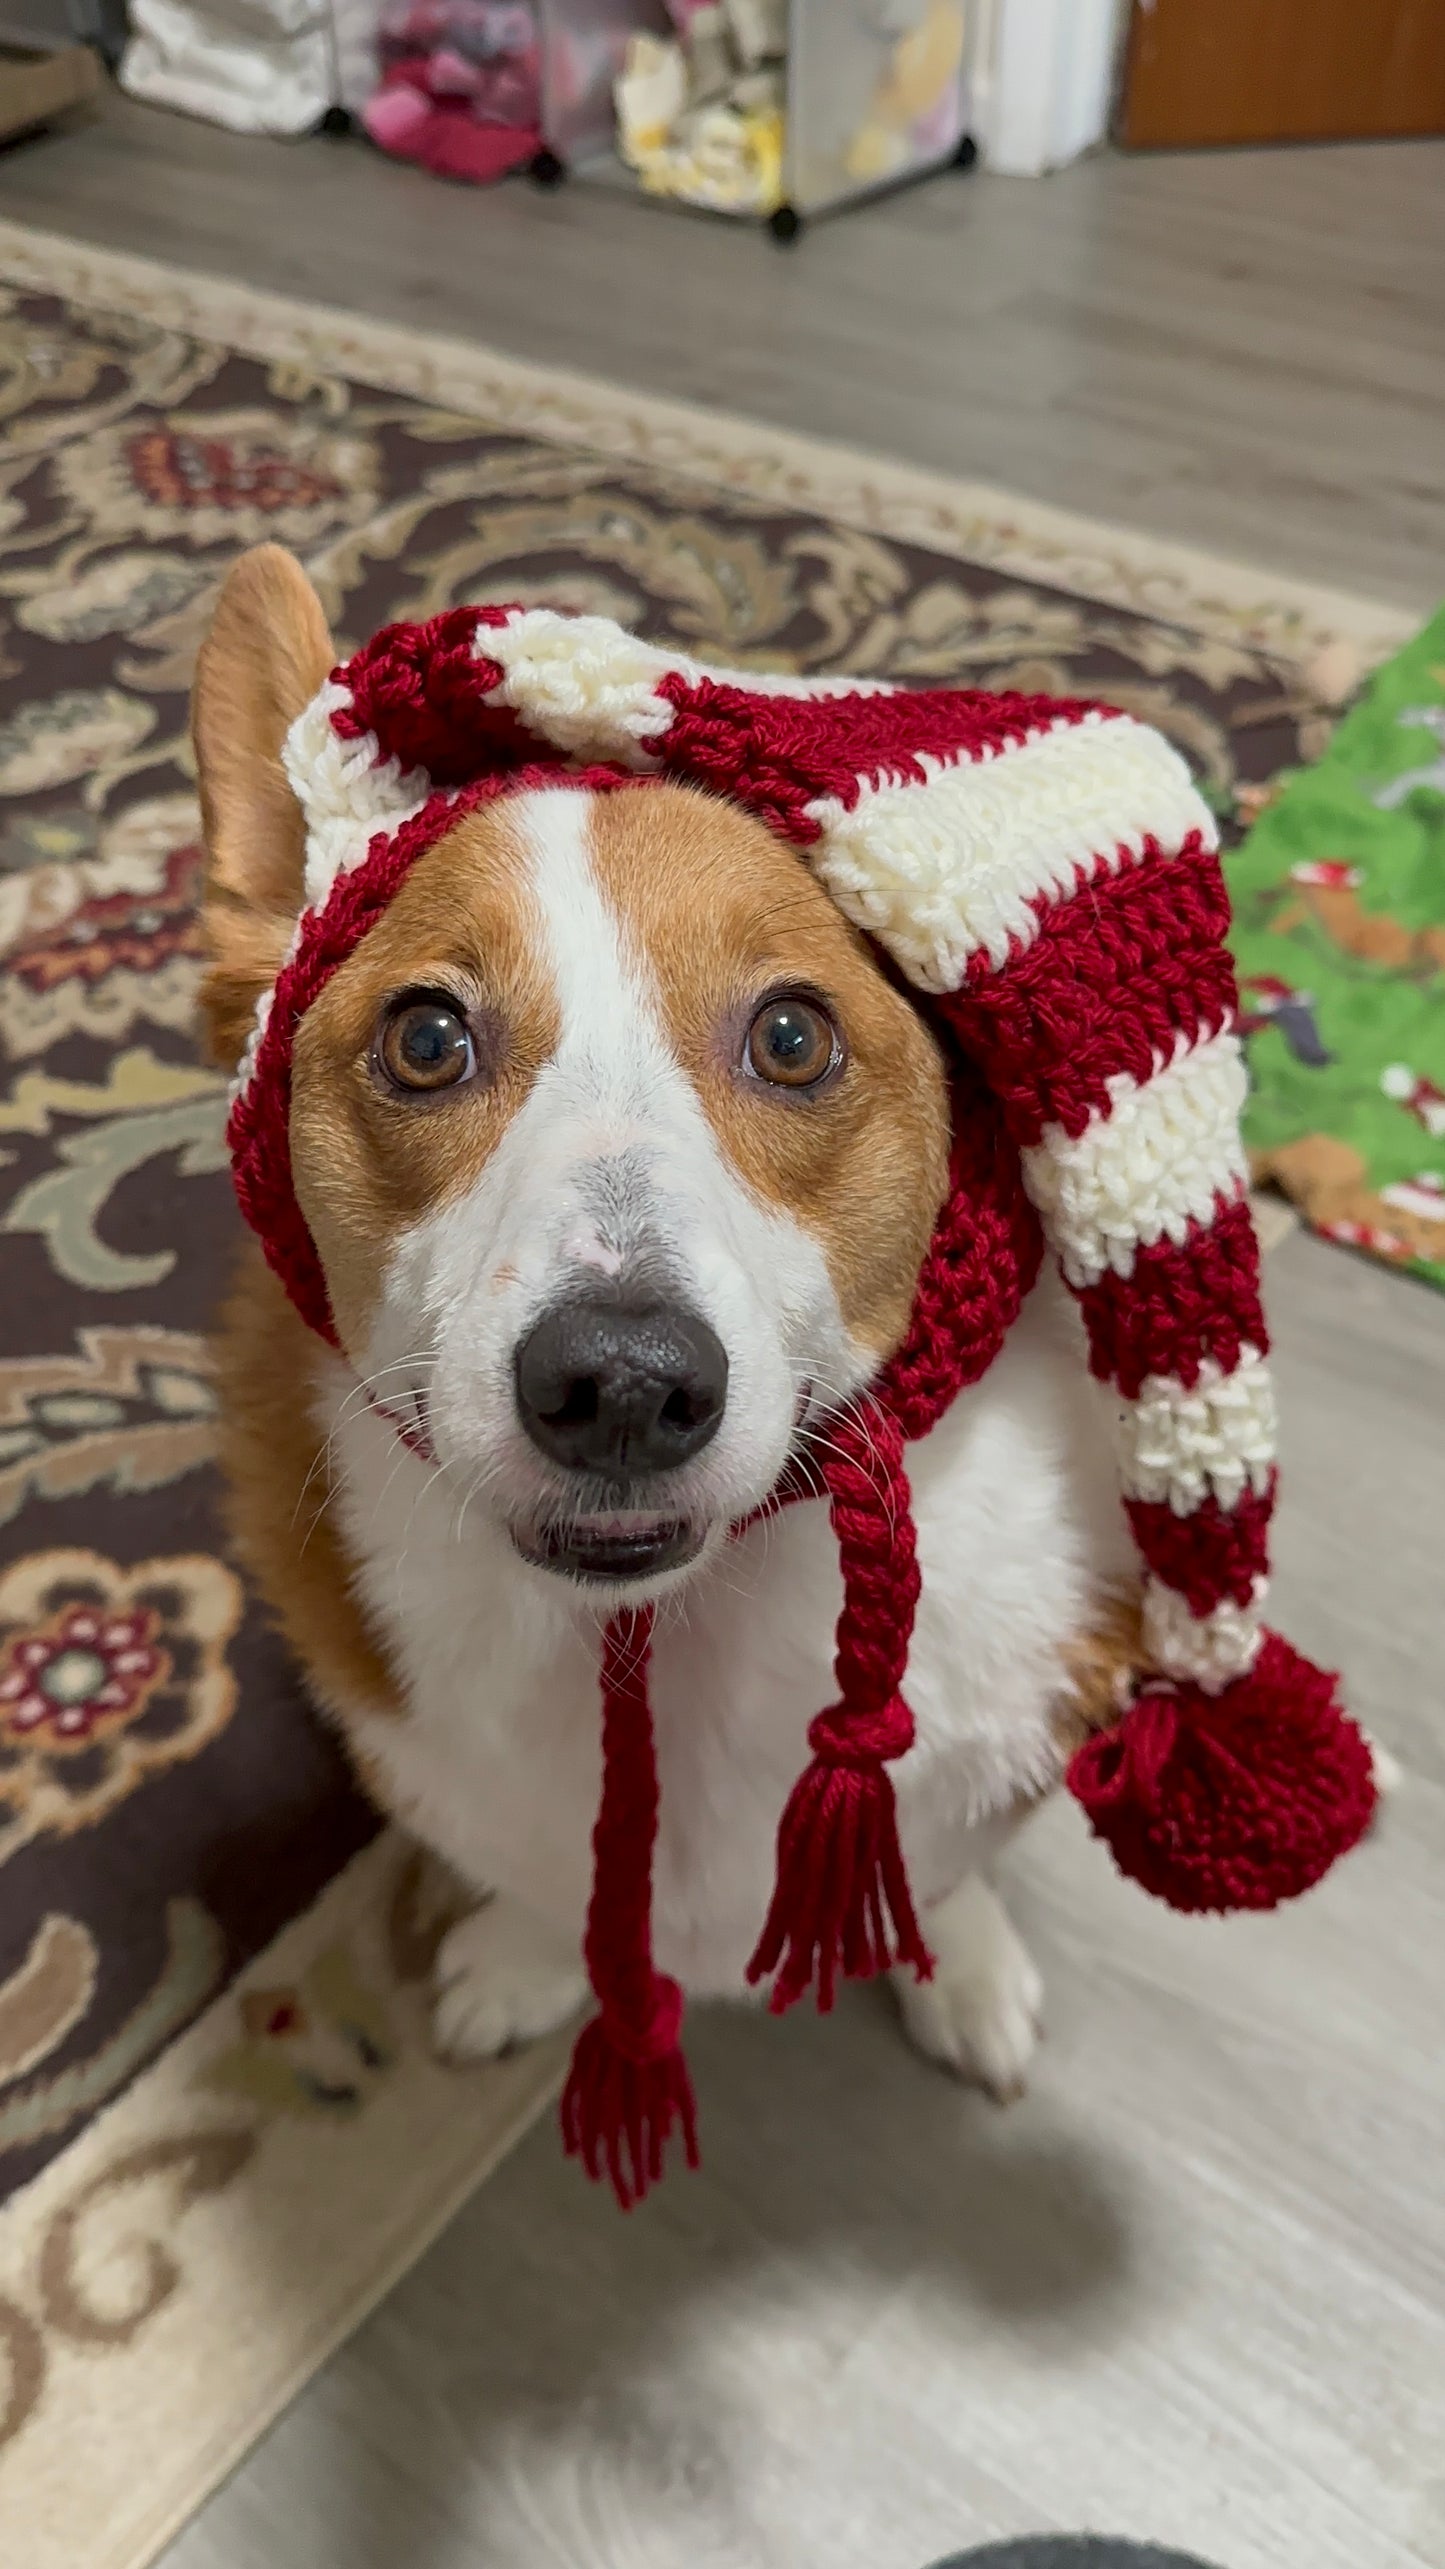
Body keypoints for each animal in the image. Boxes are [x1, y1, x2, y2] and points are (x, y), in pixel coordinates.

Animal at [196, 547, 1151, 2106]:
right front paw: (524, 1963)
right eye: (424, 1038)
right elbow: (535, 1879)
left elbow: (945, 1866)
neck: (662, 1637)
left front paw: (958, 1964)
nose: (624, 1385)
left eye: (793, 1036)